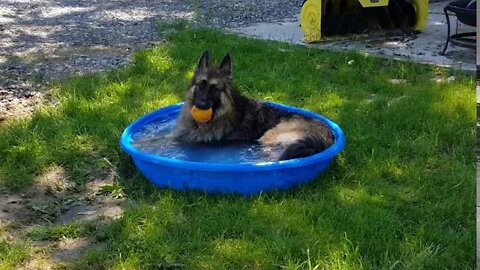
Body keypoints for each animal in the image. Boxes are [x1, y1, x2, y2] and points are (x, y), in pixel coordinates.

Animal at [172, 50, 334, 160]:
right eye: (201, 85)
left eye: (214, 89)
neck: (224, 111)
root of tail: (327, 135)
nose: (201, 105)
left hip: (270, 137)